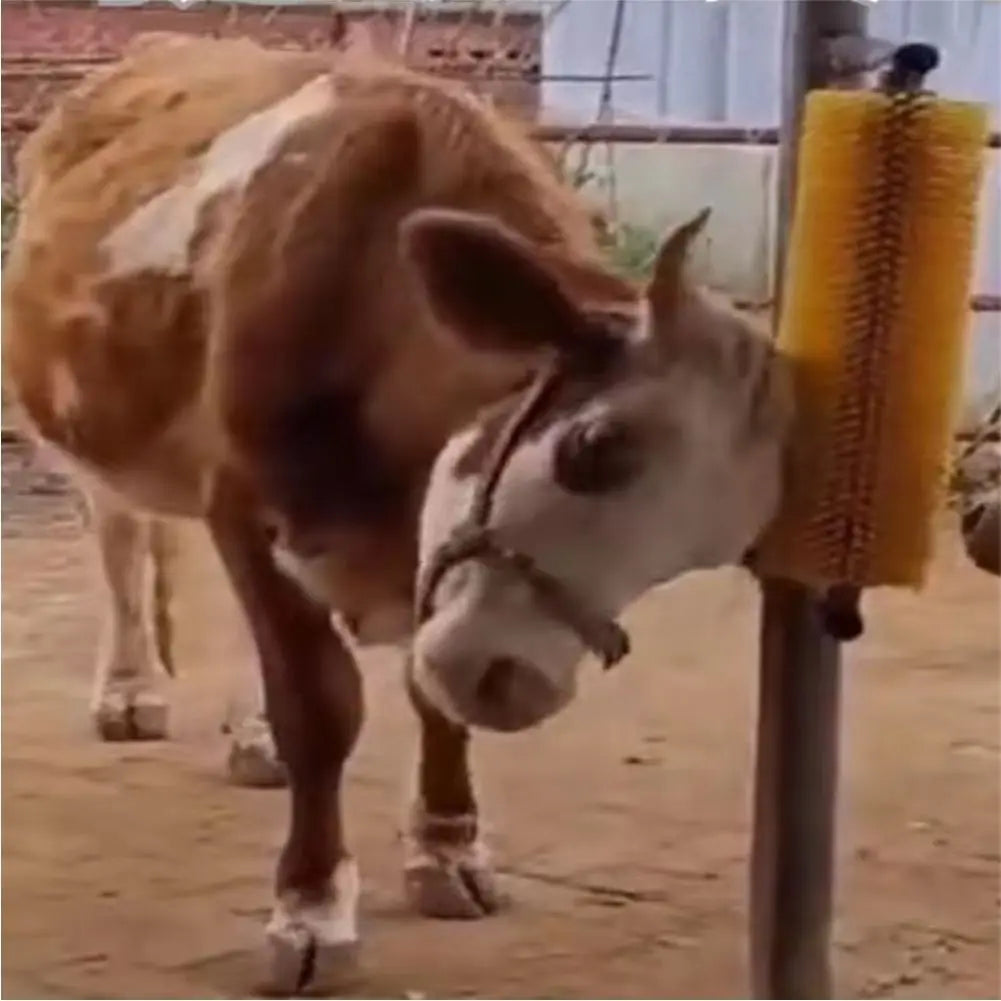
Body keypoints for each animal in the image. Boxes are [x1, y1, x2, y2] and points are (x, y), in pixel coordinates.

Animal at [2, 33, 792, 993]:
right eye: (593, 445)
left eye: (718, 545)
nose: (512, 682)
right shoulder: (246, 503)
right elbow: (319, 705)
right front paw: (309, 909)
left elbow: (423, 687)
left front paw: (447, 848)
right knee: (122, 543)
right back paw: (130, 690)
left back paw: (250, 734)